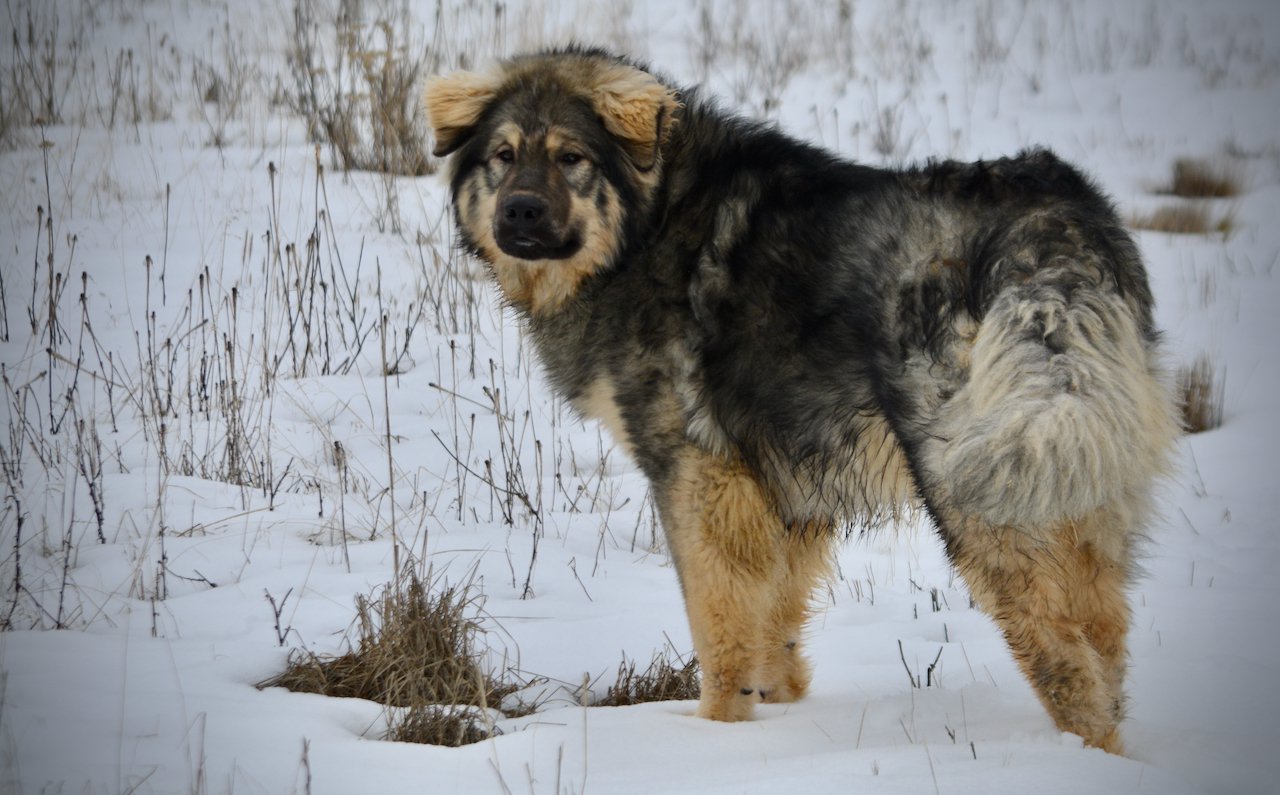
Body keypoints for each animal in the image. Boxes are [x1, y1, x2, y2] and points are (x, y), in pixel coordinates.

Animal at [422, 43, 1177, 752]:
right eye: (502, 156)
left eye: (571, 157)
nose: (518, 210)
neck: (651, 222)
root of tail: (1050, 220)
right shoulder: (784, 488)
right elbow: (774, 619)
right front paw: (779, 713)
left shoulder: (697, 475)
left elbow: (719, 623)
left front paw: (715, 731)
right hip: (1077, 474)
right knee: (1103, 637)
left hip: (981, 487)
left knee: (1066, 660)